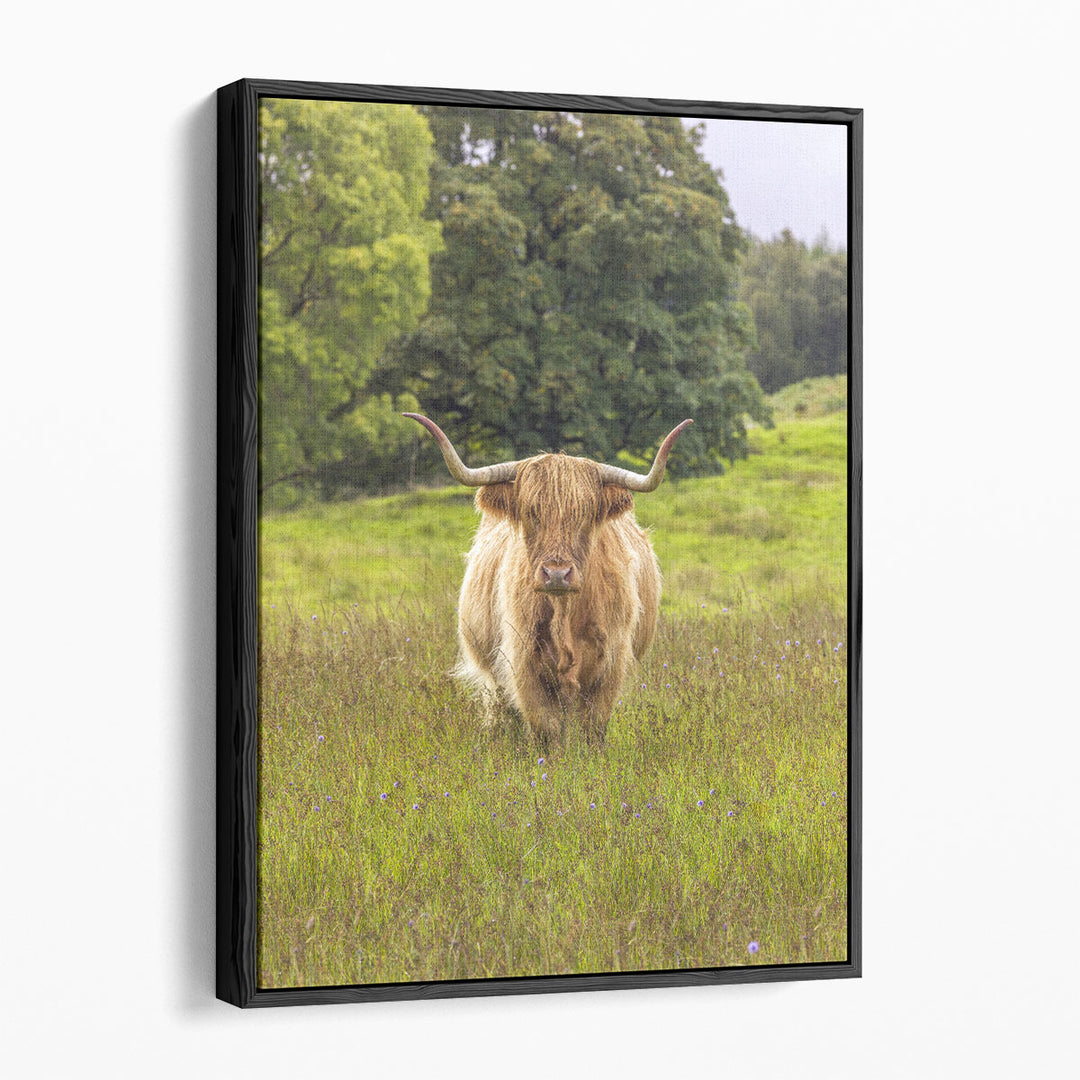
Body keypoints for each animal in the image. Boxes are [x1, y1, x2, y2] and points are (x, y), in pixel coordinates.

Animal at [404, 413, 692, 745]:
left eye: (585, 515)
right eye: (531, 513)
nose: (557, 573)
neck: (565, 616)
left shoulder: (610, 665)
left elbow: (593, 728)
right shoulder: (523, 664)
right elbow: (545, 729)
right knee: (500, 710)